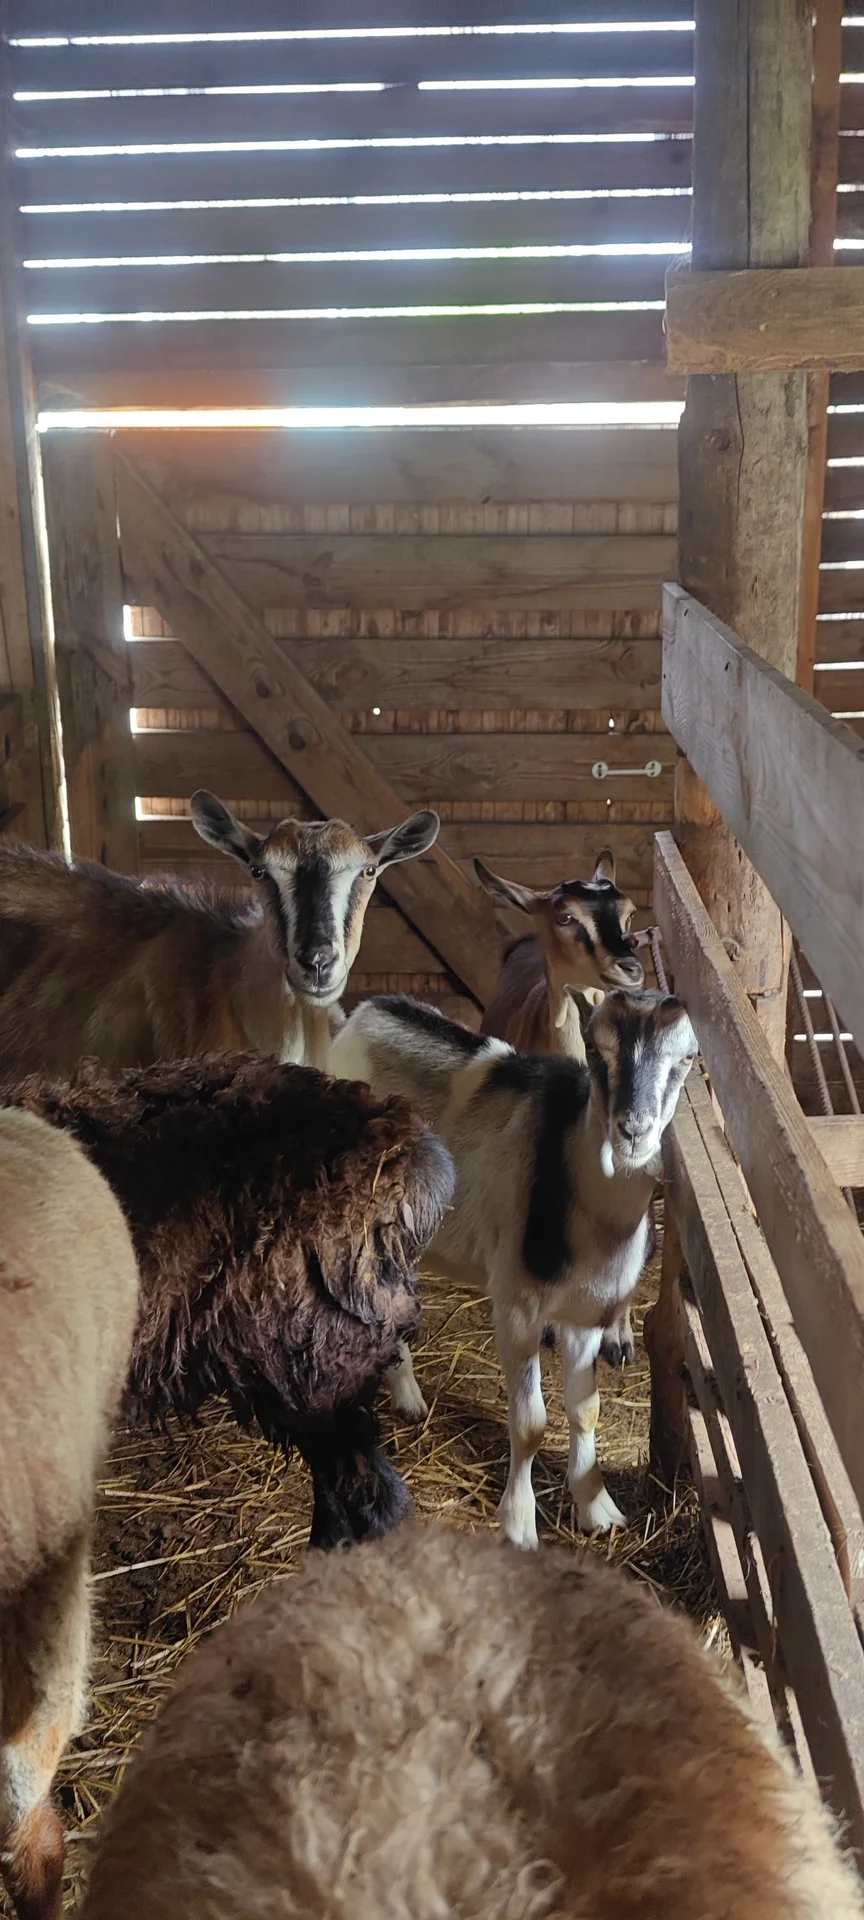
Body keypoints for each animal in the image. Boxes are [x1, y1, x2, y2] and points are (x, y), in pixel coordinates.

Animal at [330, 991, 696, 1544]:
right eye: (595, 1050)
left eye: (688, 1059)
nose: (634, 1131)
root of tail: (365, 1010)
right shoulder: (518, 1306)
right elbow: (530, 1424)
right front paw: (520, 1523)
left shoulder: (585, 1314)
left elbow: (586, 1410)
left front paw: (597, 1508)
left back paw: (407, 1394)